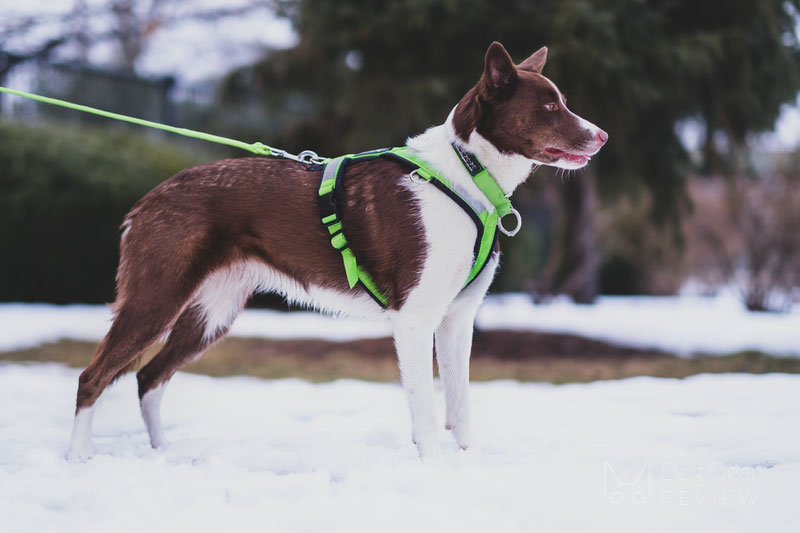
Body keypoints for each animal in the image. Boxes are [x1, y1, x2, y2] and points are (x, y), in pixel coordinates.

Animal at [69, 41, 608, 460]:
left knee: (149, 377)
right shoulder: (415, 320)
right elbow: (426, 412)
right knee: (93, 376)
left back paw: (164, 455)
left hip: (211, 313)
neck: (466, 172)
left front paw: (467, 463)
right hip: (157, 298)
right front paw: (434, 469)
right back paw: (79, 458)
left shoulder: (457, 320)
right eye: (549, 107)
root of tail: (149, 197)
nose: (602, 136)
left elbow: (460, 407)